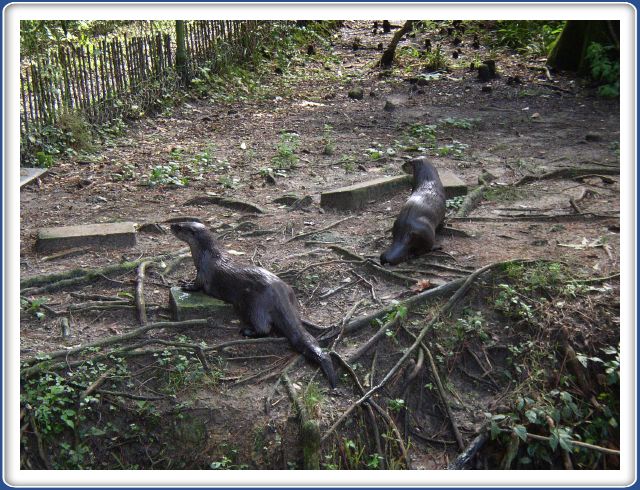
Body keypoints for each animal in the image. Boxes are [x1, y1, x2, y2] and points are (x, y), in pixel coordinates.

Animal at [170, 222, 338, 388]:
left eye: (180, 227)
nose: (171, 225)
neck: (206, 255)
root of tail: (279, 294)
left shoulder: (203, 272)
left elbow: (197, 285)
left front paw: (186, 284)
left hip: (256, 306)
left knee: (264, 328)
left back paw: (246, 331)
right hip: (291, 296)